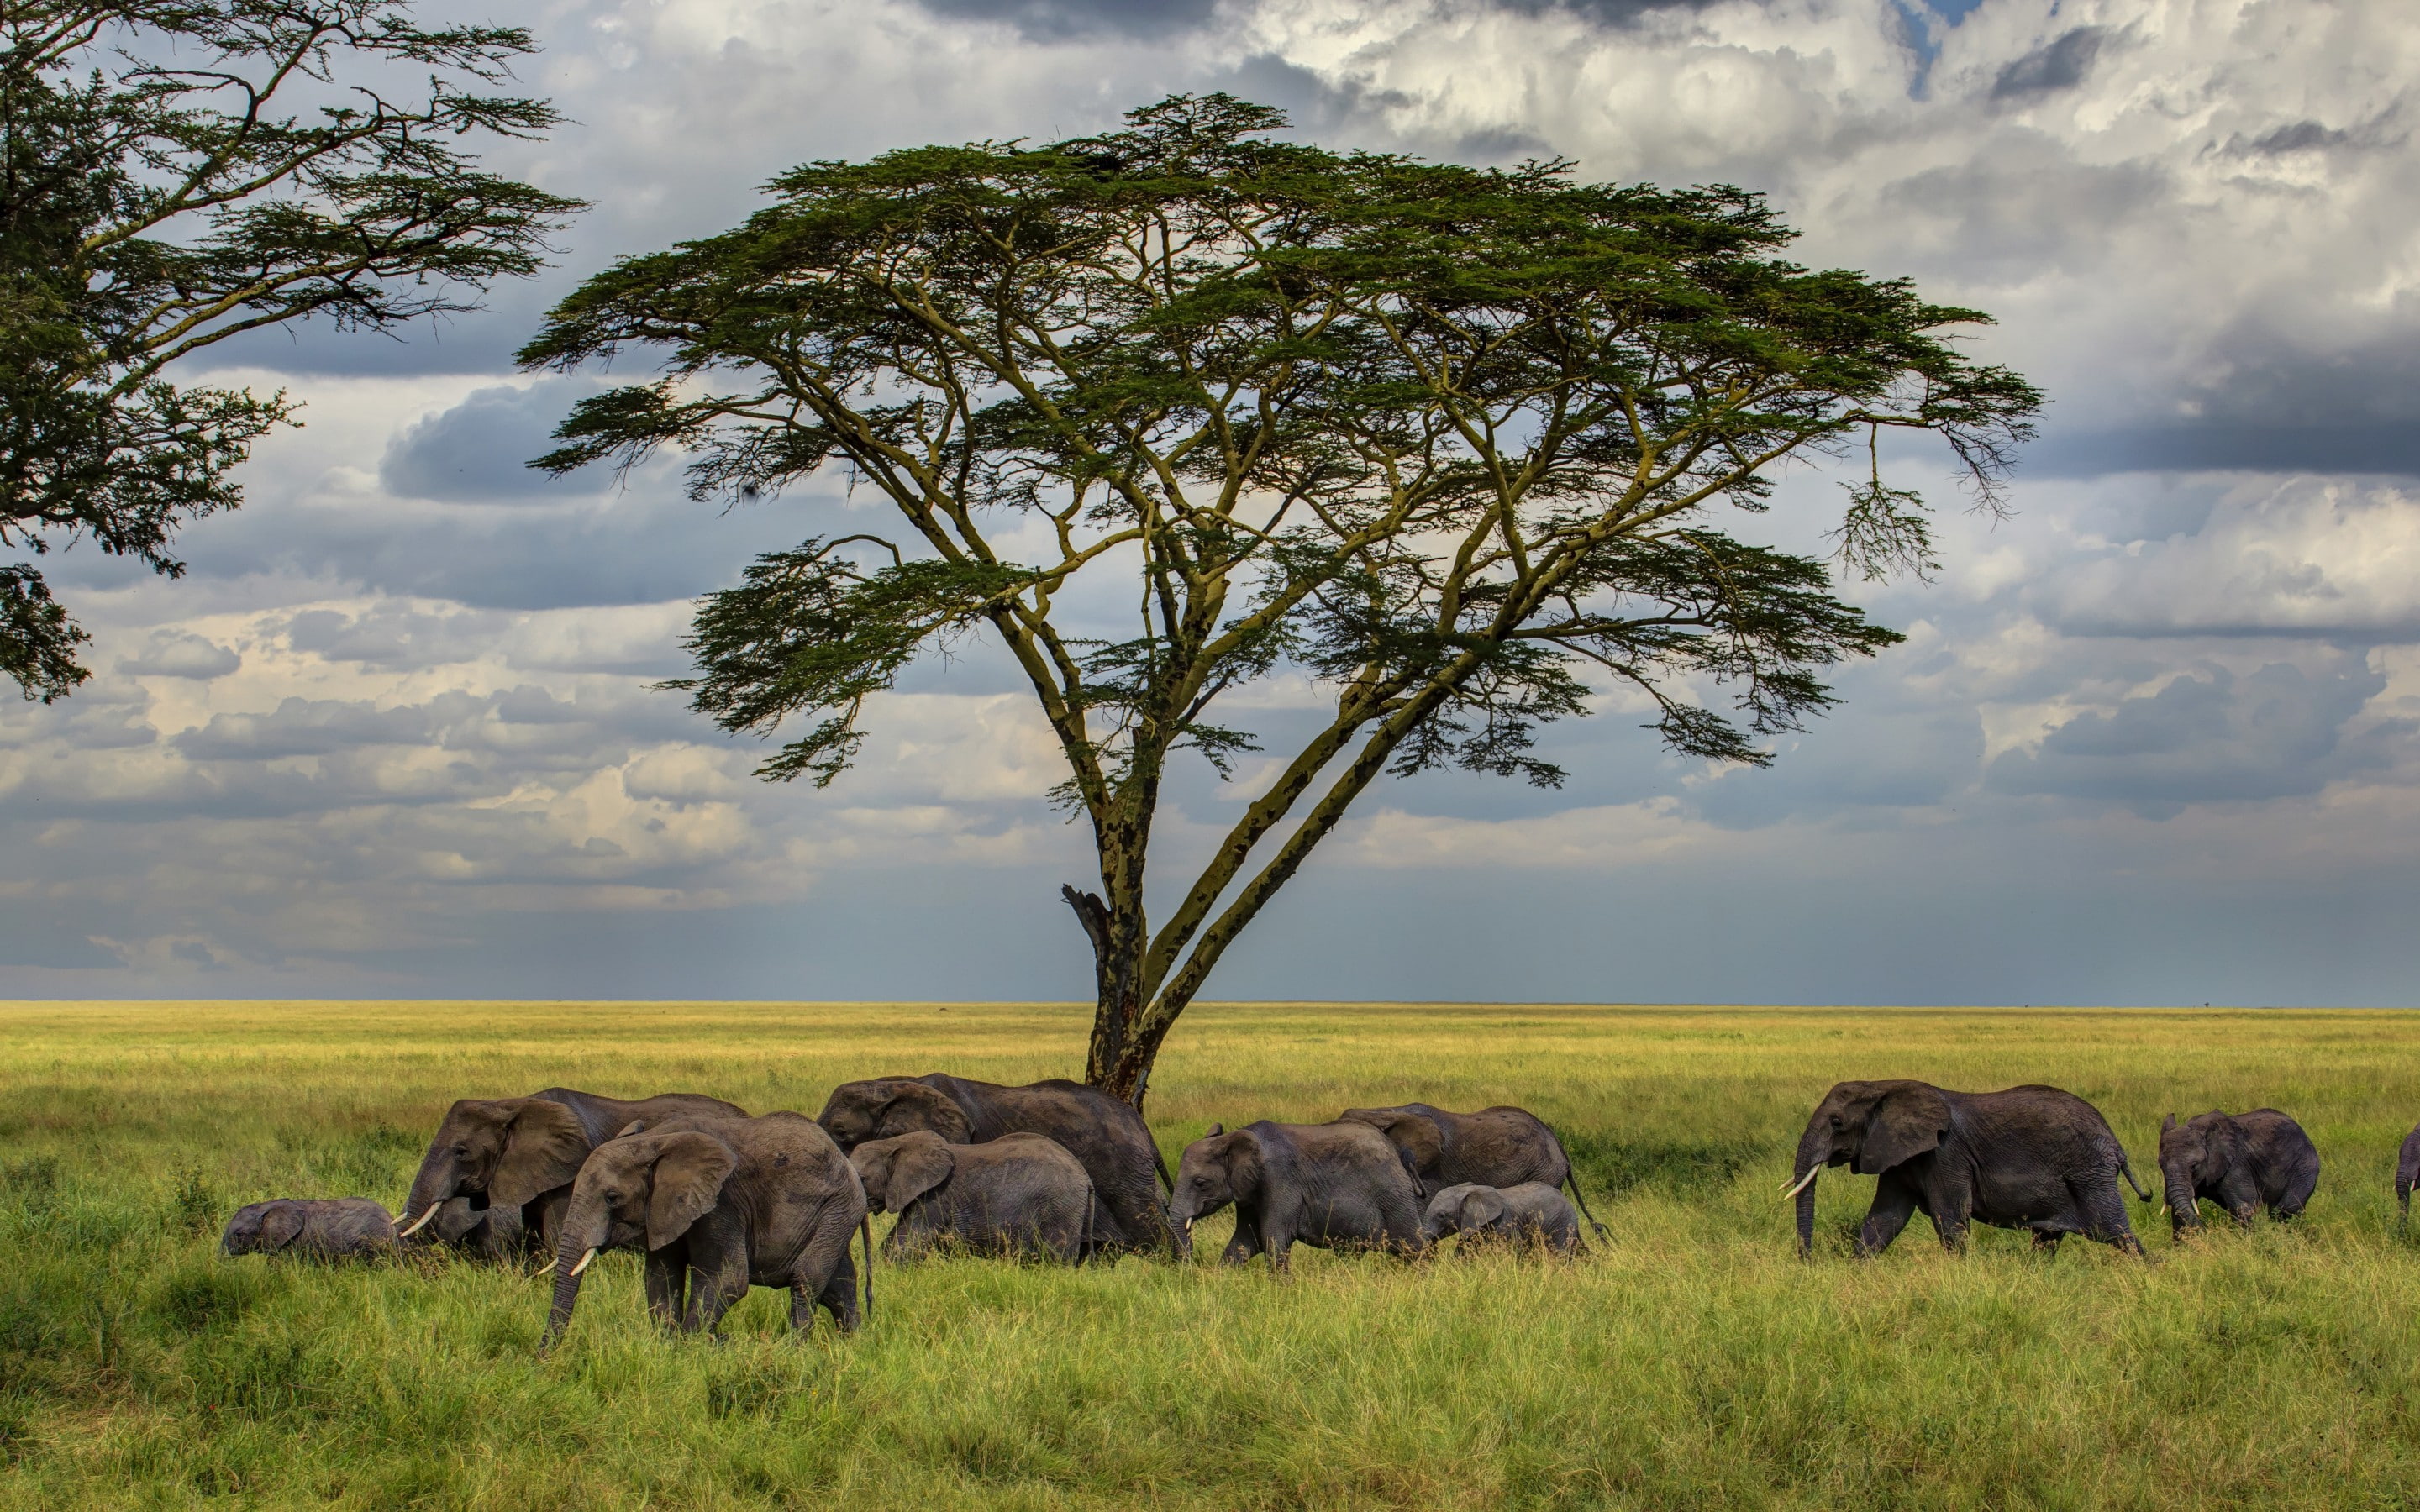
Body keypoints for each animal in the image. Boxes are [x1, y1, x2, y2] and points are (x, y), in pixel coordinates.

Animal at [543, 1112, 867, 1348]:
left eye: (612, 1198)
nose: (543, 1359)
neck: (653, 1140)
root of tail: (846, 1162)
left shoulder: (722, 1203)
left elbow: (727, 1279)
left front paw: (694, 1347)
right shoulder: (666, 1208)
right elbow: (661, 1277)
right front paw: (668, 1347)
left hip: (838, 1206)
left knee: (806, 1277)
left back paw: (796, 1347)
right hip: (835, 1213)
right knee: (837, 1285)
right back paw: (851, 1343)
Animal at [850, 1130, 1096, 1263]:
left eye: (862, 1178)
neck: (897, 1142)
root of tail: (1086, 1177)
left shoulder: (936, 1195)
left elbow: (908, 1242)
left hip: (1060, 1207)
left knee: (1055, 1257)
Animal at [1166, 1119, 1427, 1272]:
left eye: (1200, 1183)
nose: (1190, 1269)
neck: (1232, 1139)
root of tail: (1397, 1151)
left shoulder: (1279, 1181)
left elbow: (1273, 1238)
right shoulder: (1249, 1192)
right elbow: (1245, 1240)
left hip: (1394, 1195)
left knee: (1412, 1246)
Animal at [1785, 1080, 2152, 1259]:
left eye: (1837, 1123)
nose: (1810, 1261)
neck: (1881, 1086)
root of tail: (2115, 1143)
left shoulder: (1945, 1155)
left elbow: (1949, 1217)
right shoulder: (1898, 1155)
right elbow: (1885, 1219)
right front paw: (1856, 1268)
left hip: (2089, 1173)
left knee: (2116, 1232)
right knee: (2047, 1240)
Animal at [2156, 1109, 2318, 1233]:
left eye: (2194, 1166)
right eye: (2161, 1166)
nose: (2207, 1231)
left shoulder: (2236, 1165)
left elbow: (2243, 1207)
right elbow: (2179, 1212)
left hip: (2305, 1166)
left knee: (2286, 1208)